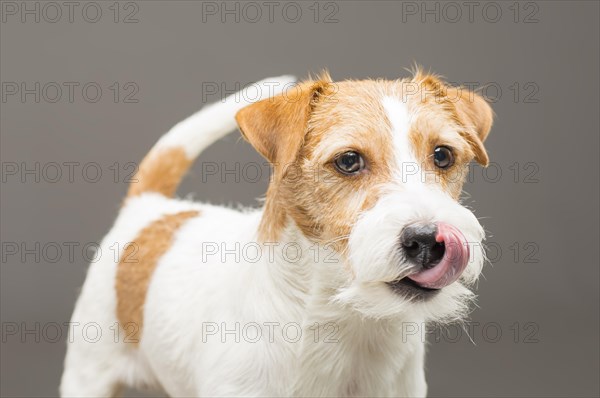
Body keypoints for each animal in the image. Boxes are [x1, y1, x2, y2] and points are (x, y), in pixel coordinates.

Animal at [61, 70, 492, 396]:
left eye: (442, 155)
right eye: (348, 161)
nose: (428, 240)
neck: (343, 322)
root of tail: (149, 206)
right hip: (87, 374)